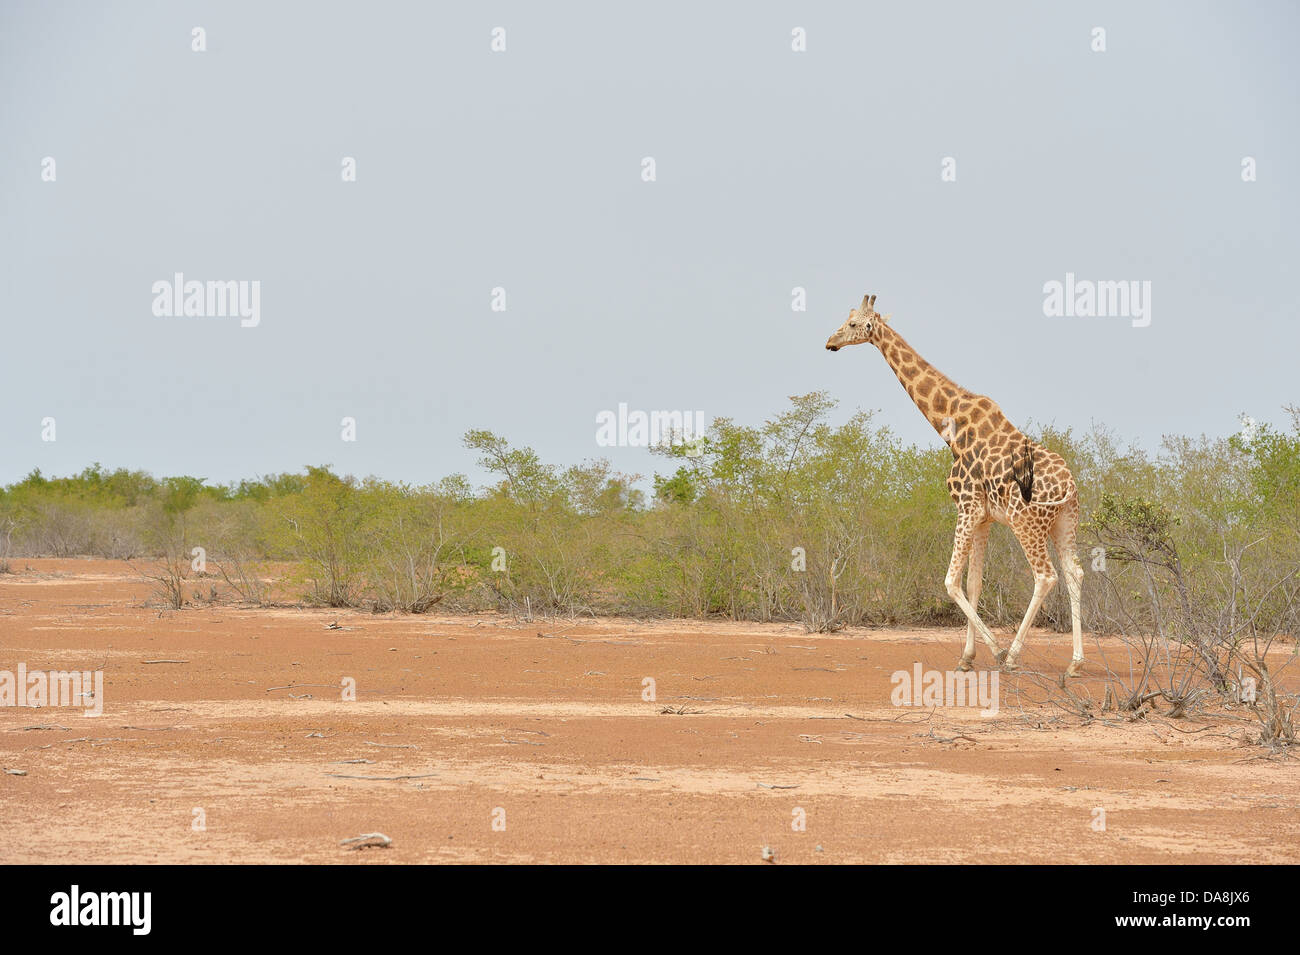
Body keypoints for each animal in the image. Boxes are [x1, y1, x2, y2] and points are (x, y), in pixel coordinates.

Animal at [821, 294, 1086, 675]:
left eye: (854, 324)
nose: (830, 342)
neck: (951, 427)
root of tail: (1069, 487)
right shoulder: (984, 517)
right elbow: (974, 583)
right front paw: (967, 657)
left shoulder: (967, 506)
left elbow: (950, 581)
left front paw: (995, 651)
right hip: (1065, 521)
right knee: (1074, 572)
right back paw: (1075, 663)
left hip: (1027, 524)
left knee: (1046, 576)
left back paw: (1014, 656)